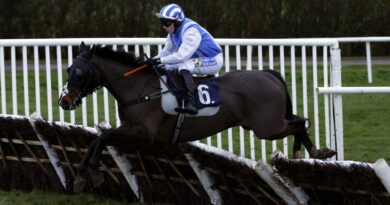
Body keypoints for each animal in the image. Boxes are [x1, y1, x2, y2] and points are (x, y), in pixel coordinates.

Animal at [58, 41, 336, 192]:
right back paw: (308, 153)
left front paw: (91, 174)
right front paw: (83, 177)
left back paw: (312, 152)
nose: (64, 101)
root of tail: (268, 74)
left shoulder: (143, 133)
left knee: (300, 122)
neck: (138, 87)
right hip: (266, 124)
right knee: (298, 120)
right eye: (69, 69)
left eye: (79, 72)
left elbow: (103, 137)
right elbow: (98, 139)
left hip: (266, 127)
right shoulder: (130, 130)